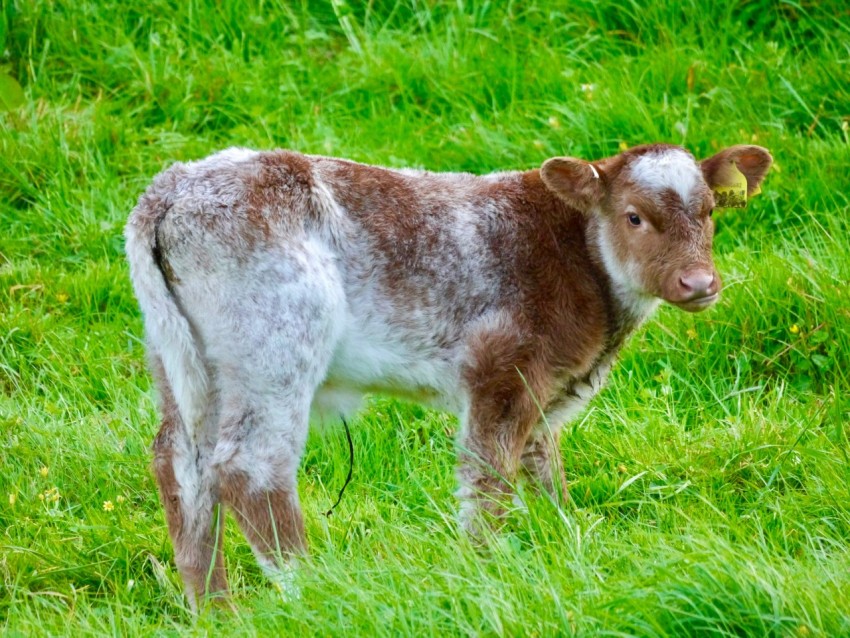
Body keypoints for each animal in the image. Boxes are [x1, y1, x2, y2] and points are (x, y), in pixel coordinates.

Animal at [124, 142, 768, 608]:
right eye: (634, 216)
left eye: (710, 214)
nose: (699, 284)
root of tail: (172, 187)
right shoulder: (501, 373)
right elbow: (487, 481)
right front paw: (484, 572)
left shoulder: (545, 390)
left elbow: (545, 471)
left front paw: (567, 547)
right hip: (276, 344)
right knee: (250, 469)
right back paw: (313, 592)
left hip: (181, 360)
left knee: (180, 465)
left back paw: (215, 611)